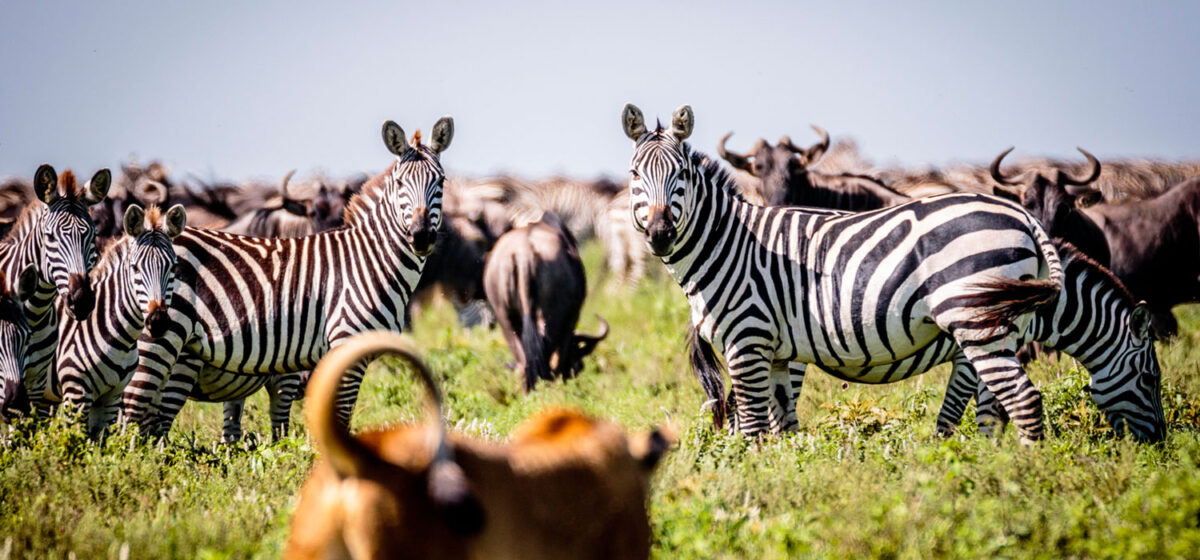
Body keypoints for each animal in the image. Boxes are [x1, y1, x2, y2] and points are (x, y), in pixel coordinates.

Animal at [46, 205, 184, 438]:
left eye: (173, 267)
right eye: (135, 268)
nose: (157, 321)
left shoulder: (111, 396)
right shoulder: (76, 392)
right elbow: (75, 442)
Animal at [119, 117, 453, 438]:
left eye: (441, 181)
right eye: (400, 183)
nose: (421, 236)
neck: (371, 260)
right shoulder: (346, 341)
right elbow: (341, 416)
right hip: (159, 339)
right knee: (132, 409)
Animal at [619, 101, 1161, 443]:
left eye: (681, 175)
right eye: (633, 176)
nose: (1156, 445)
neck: (728, 246)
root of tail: (1023, 219)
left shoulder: (751, 341)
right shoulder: (759, 345)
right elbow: (763, 432)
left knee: (1022, 400)